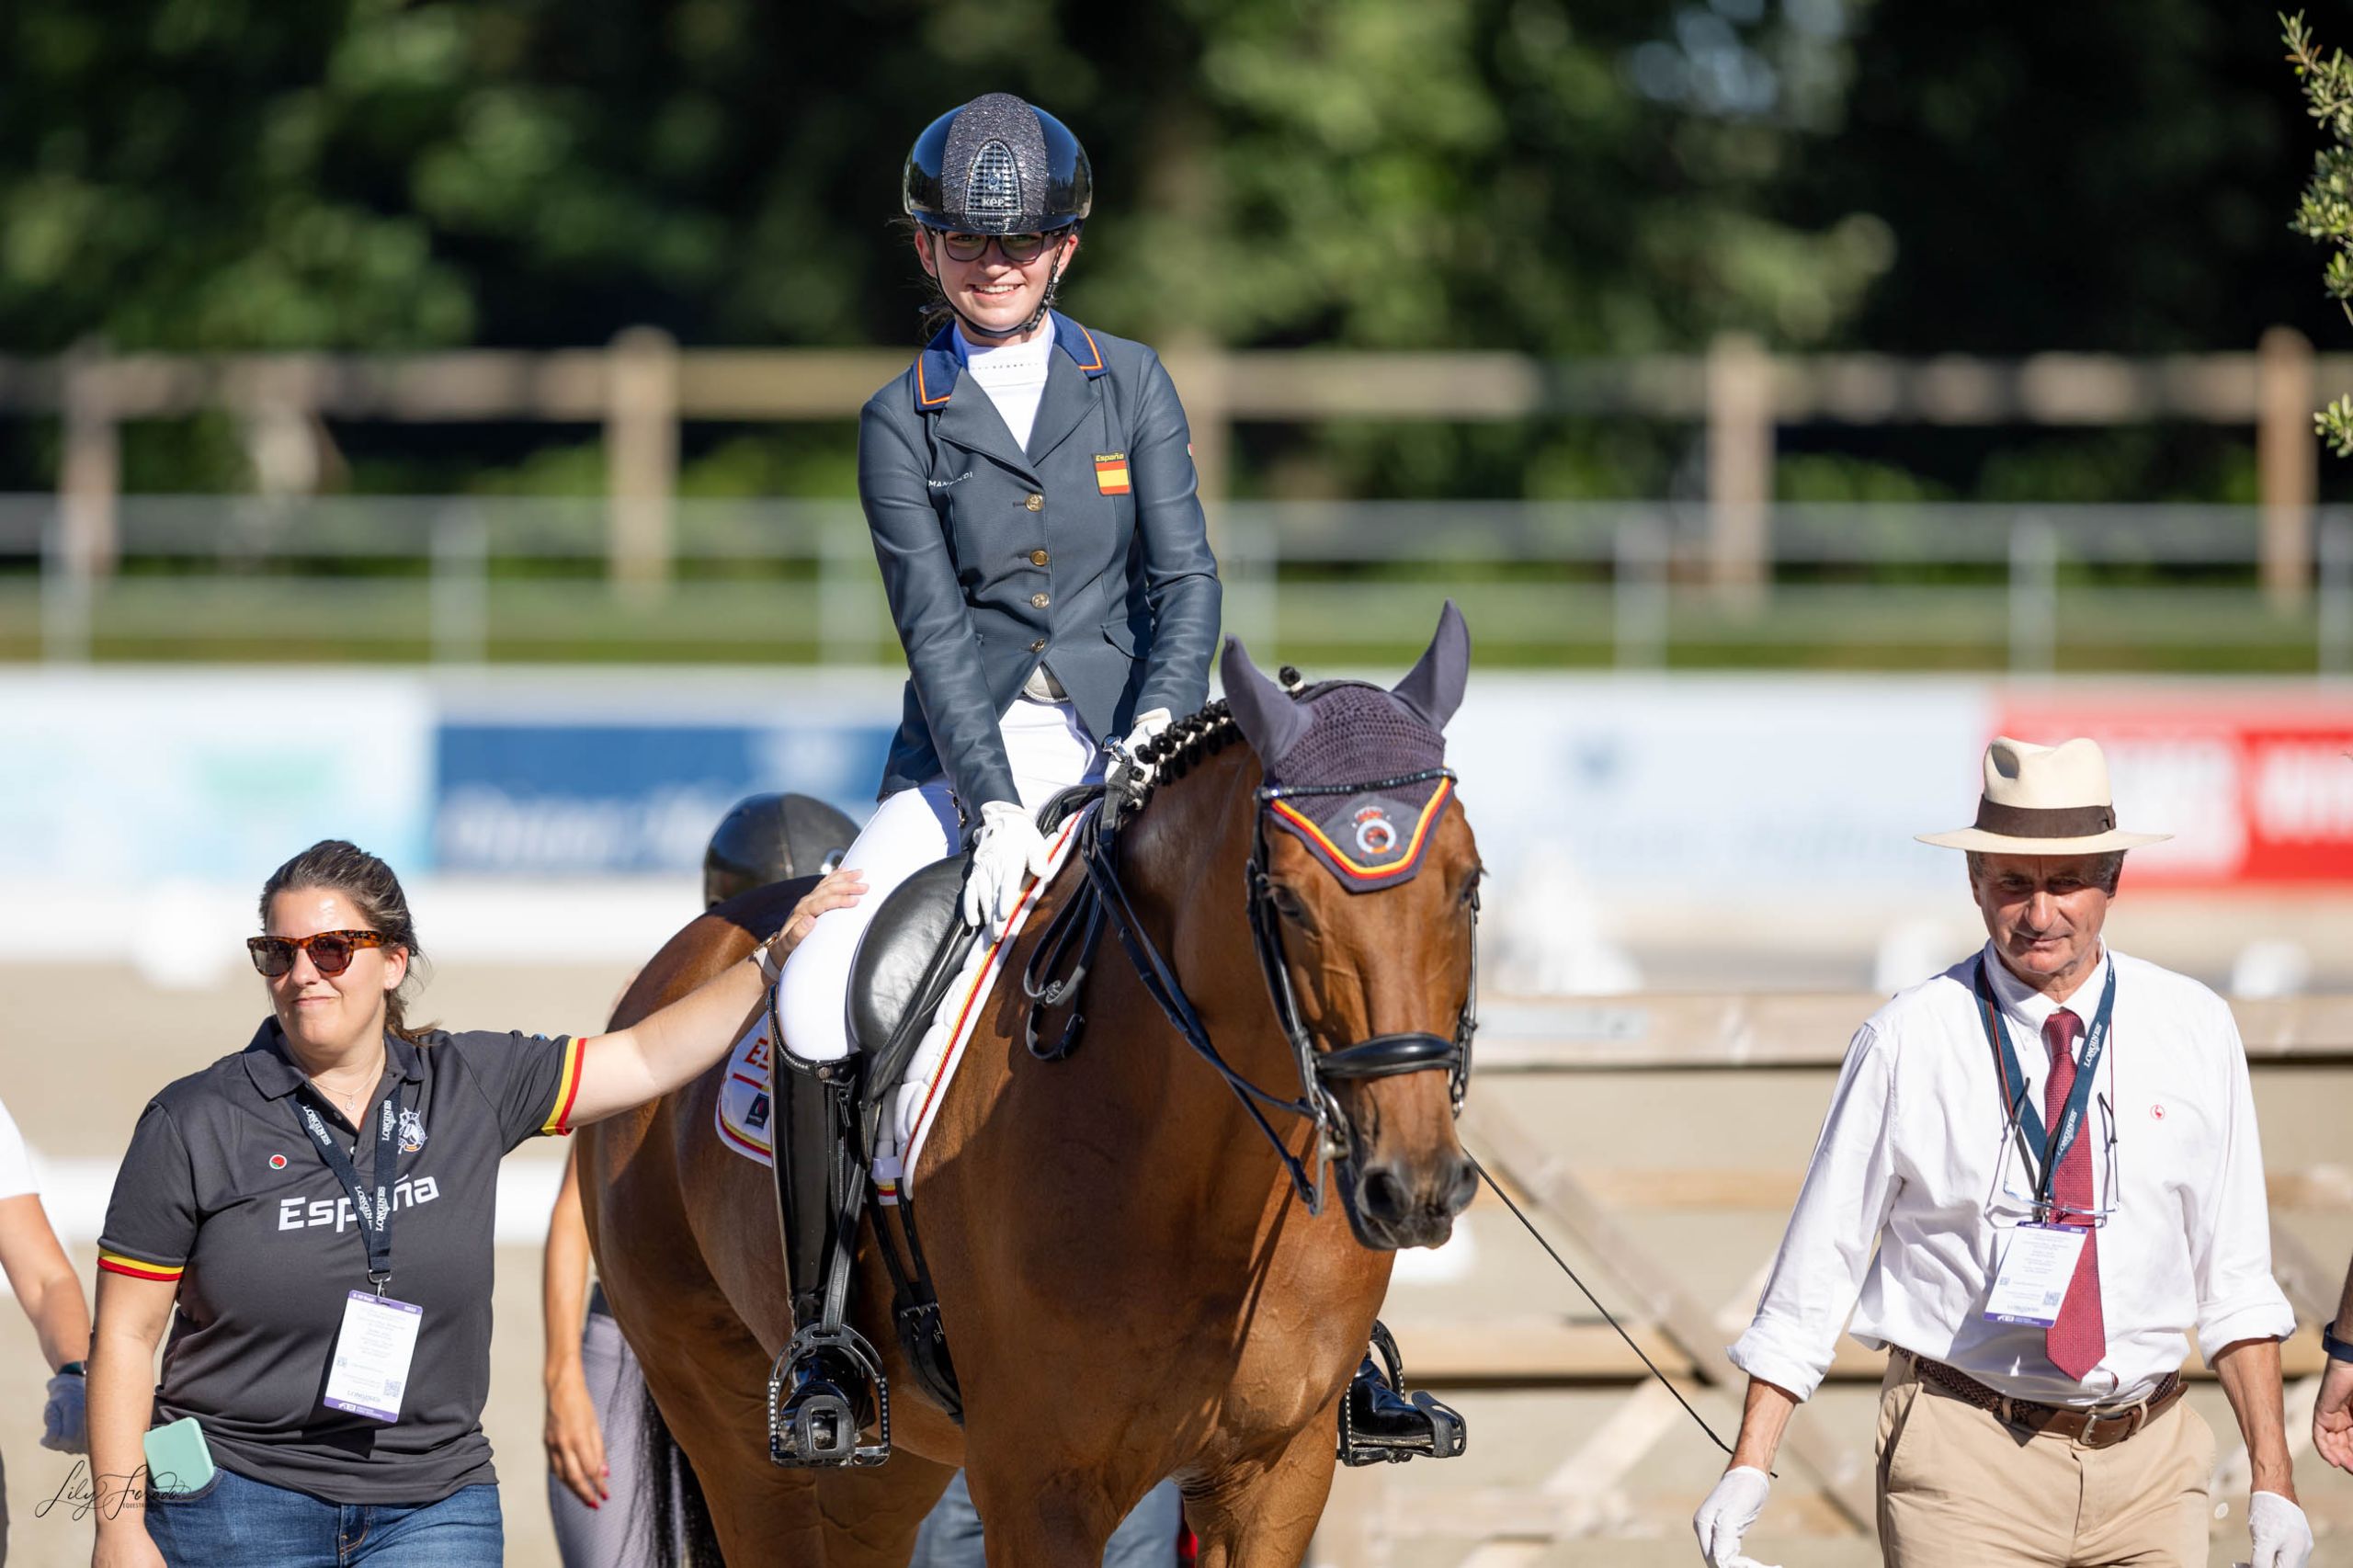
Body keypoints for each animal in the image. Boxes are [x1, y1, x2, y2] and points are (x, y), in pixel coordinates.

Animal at [578, 607, 1477, 1562]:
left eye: (1469, 883)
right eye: (1289, 899)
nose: (1414, 1184)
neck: (1205, 1183)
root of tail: (683, 957)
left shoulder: (1278, 1477)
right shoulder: (1036, 1485)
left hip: (887, 1472)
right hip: (735, 1428)